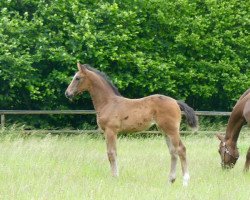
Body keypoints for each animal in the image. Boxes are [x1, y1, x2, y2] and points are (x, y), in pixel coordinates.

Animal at [65, 62, 198, 186]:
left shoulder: (111, 131)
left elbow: (111, 153)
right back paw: (171, 180)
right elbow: (111, 153)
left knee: (181, 149)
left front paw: (115, 177)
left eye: (77, 78)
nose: (67, 93)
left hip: (172, 130)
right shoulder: (108, 132)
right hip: (165, 131)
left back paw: (185, 181)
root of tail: (175, 101)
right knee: (173, 152)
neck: (108, 103)